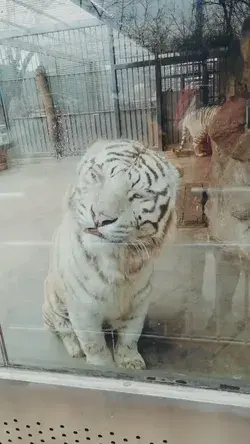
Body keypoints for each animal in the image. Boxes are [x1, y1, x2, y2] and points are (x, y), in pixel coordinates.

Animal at [43, 140, 180, 370]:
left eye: (137, 196)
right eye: (97, 176)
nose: (100, 218)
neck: (118, 265)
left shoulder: (139, 303)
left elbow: (130, 337)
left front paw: (130, 362)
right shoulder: (83, 308)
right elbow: (93, 343)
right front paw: (102, 366)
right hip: (52, 300)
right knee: (63, 329)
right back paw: (74, 349)